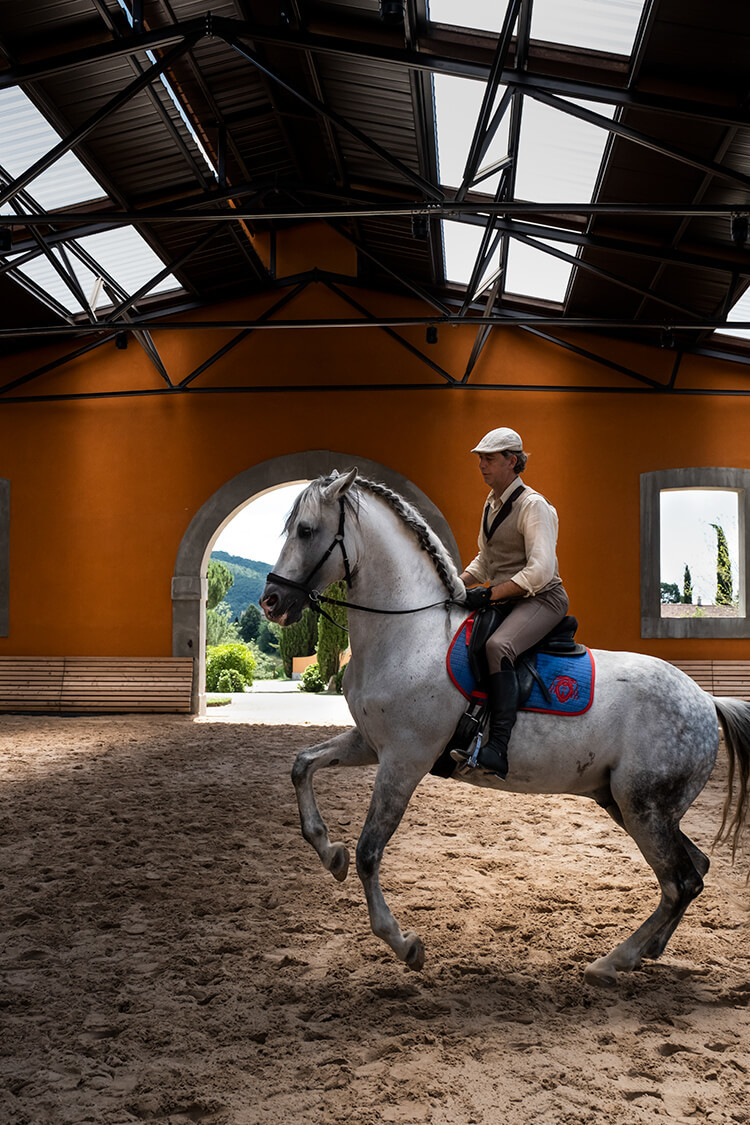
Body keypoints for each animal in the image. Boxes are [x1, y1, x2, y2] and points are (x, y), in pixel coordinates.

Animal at [259, 465, 750, 985]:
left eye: (305, 530)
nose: (271, 601)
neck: (408, 634)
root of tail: (705, 700)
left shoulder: (405, 760)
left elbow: (369, 851)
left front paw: (404, 943)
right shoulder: (371, 744)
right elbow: (303, 765)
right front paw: (327, 851)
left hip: (644, 808)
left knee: (680, 881)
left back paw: (614, 960)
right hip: (627, 803)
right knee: (693, 871)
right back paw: (647, 951)